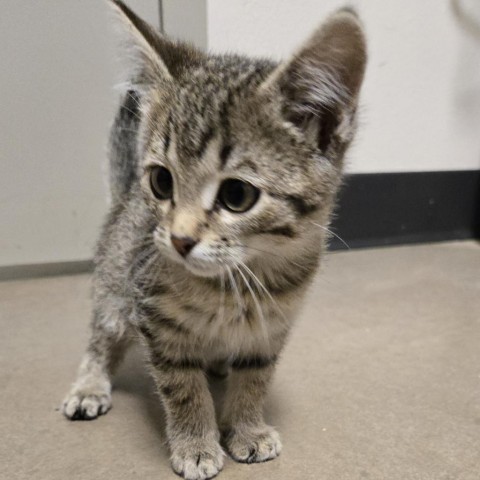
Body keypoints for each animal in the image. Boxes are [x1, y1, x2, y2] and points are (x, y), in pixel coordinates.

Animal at [61, 1, 368, 478]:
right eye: (162, 181)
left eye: (237, 195)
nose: (179, 239)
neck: (235, 281)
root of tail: (123, 198)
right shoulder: (155, 318)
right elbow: (182, 385)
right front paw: (195, 443)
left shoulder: (271, 329)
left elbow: (256, 378)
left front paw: (247, 428)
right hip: (115, 283)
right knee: (101, 334)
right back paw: (90, 385)